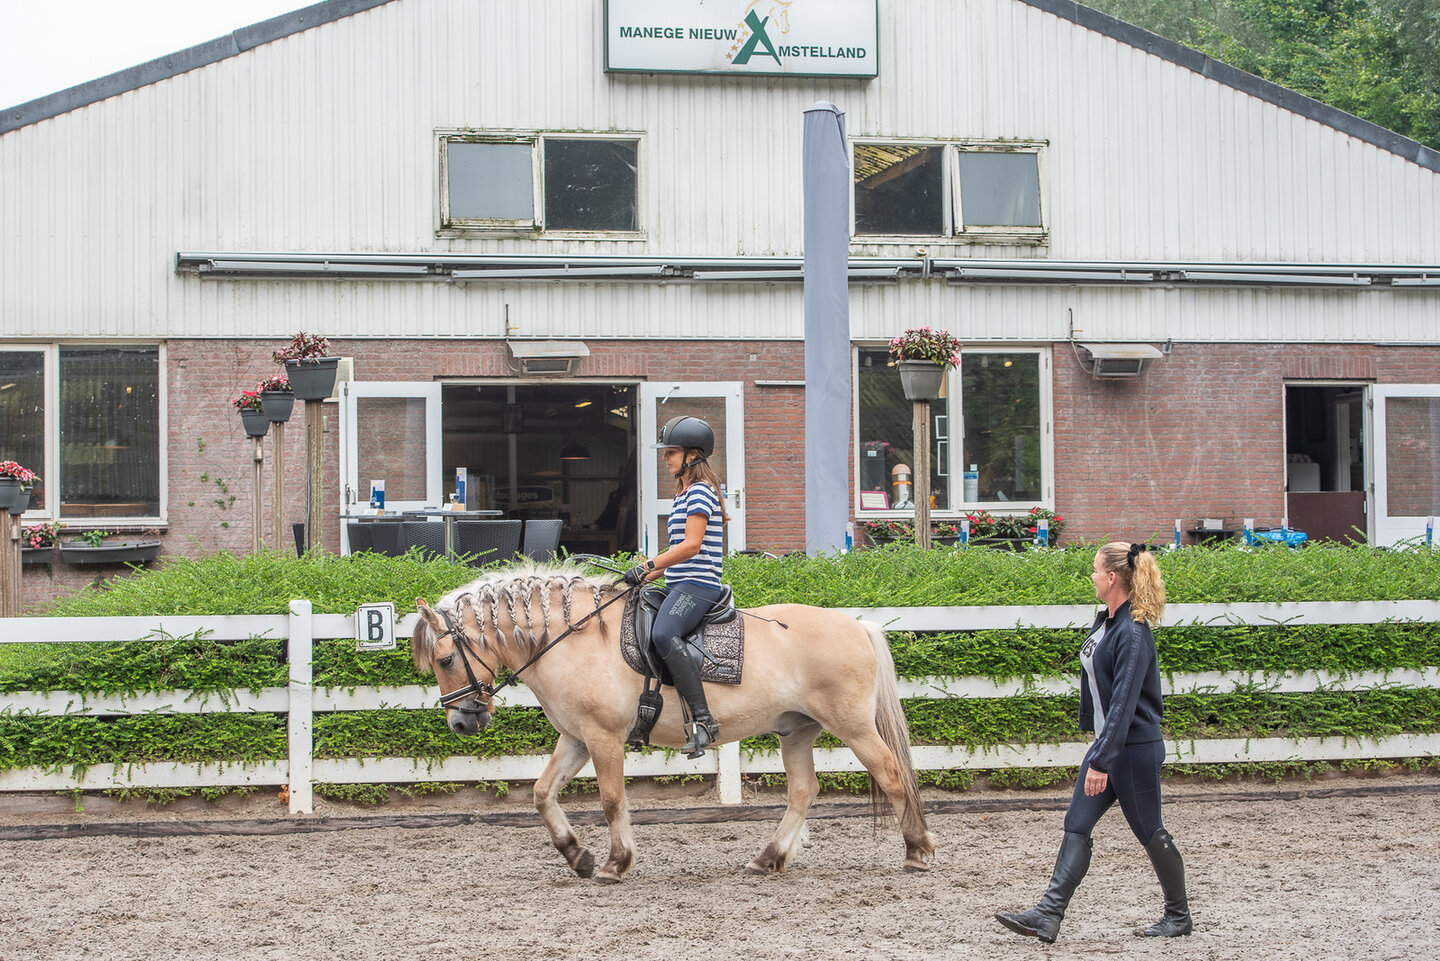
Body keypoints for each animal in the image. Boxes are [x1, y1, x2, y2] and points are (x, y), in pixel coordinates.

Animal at [414, 564, 933, 887]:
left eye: (445, 659)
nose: (460, 722)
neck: (572, 639)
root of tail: (857, 625)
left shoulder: (603, 738)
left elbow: (612, 800)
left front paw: (615, 863)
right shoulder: (576, 739)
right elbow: (542, 794)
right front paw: (577, 856)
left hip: (853, 726)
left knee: (891, 775)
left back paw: (917, 851)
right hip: (796, 731)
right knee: (804, 792)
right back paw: (769, 858)